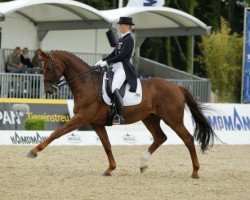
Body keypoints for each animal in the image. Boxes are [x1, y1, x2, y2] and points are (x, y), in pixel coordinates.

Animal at [25, 50, 217, 178]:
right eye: (42, 68)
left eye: (50, 67)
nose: (49, 91)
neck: (87, 83)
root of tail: (177, 87)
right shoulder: (96, 123)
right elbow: (107, 145)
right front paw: (110, 169)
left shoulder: (81, 118)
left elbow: (57, 133)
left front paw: (34, 151)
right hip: (150, 118)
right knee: (160, 137)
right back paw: (143, 164)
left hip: (172, 119)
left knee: (188, 139)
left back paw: (195, 171)